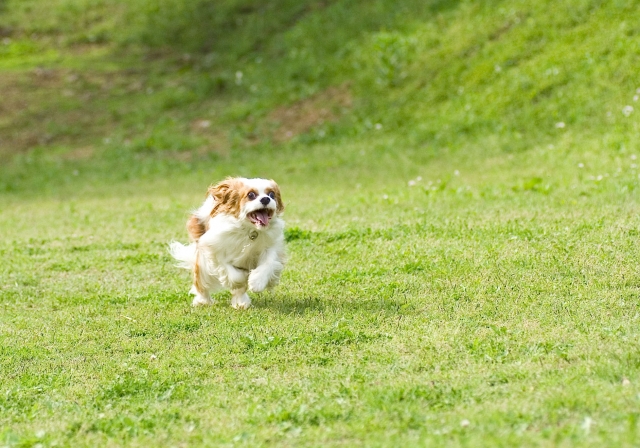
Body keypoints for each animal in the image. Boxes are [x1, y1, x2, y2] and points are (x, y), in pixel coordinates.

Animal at [172, 178, 288, 308]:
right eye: (251, 195)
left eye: (272, 194)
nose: (266, 199)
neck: (250, 230)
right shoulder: (214, 249)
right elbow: (233, 274)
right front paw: (243, 277)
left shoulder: (270, 246)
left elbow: (268, 263)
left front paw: (256, 282)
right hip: (203, 266)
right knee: (202, 284)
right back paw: (203, 301)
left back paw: (241, 303)